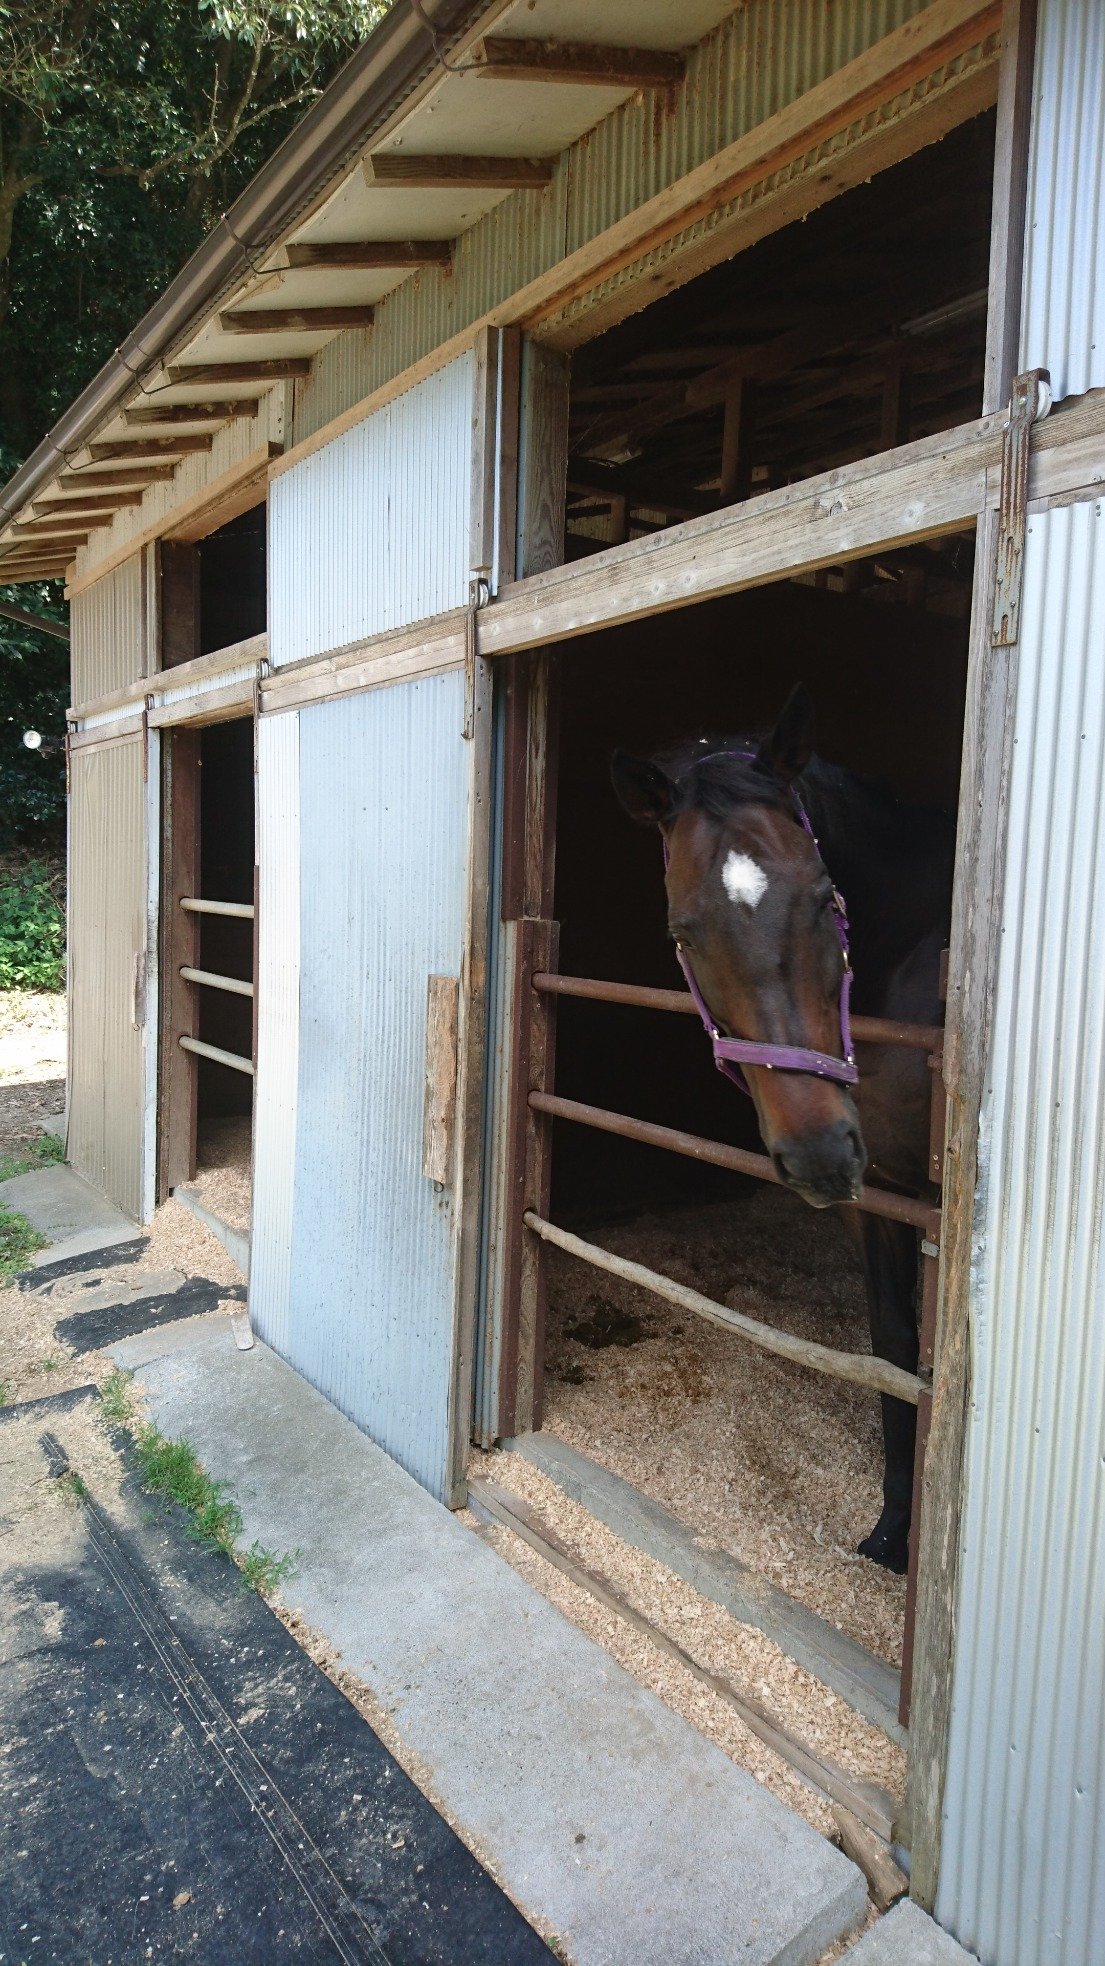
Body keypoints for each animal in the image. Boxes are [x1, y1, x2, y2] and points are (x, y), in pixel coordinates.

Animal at [605, 684, 951, 1572]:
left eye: (826, 897)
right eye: (681, 932)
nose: (819, 1154)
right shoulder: (882, 1193)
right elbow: (893, 1351)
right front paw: (892, 1533)